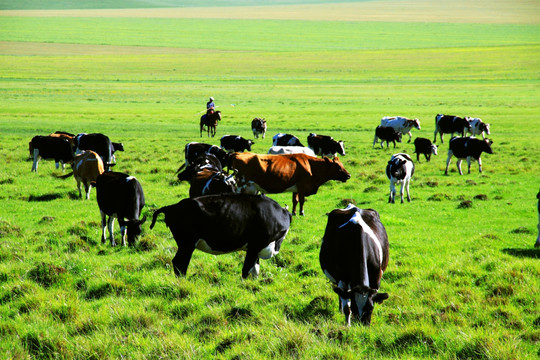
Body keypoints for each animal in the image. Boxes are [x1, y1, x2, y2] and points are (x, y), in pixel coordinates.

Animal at [148, 194, 292, 278]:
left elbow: (255, 270)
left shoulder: (254, 249)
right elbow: (246, 270)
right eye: (283, 234)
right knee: (180, 263)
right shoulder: (255, 246)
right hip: (187, 243)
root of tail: (173, 206)